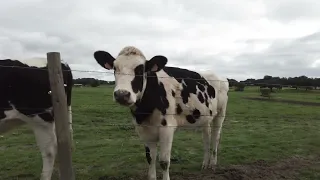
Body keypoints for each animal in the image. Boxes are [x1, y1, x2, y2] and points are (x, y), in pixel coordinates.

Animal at [94, 46, 229, 180]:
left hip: (220, 114)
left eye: (141, 69)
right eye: (115, 68)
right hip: (205, 117)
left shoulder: (167, 128)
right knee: (206, 137)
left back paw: (213, 164)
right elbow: (150, 158)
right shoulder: (143, 130)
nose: (122, 94)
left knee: (215, 137)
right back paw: (205, 163)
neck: (144, 111)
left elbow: (164, 161)